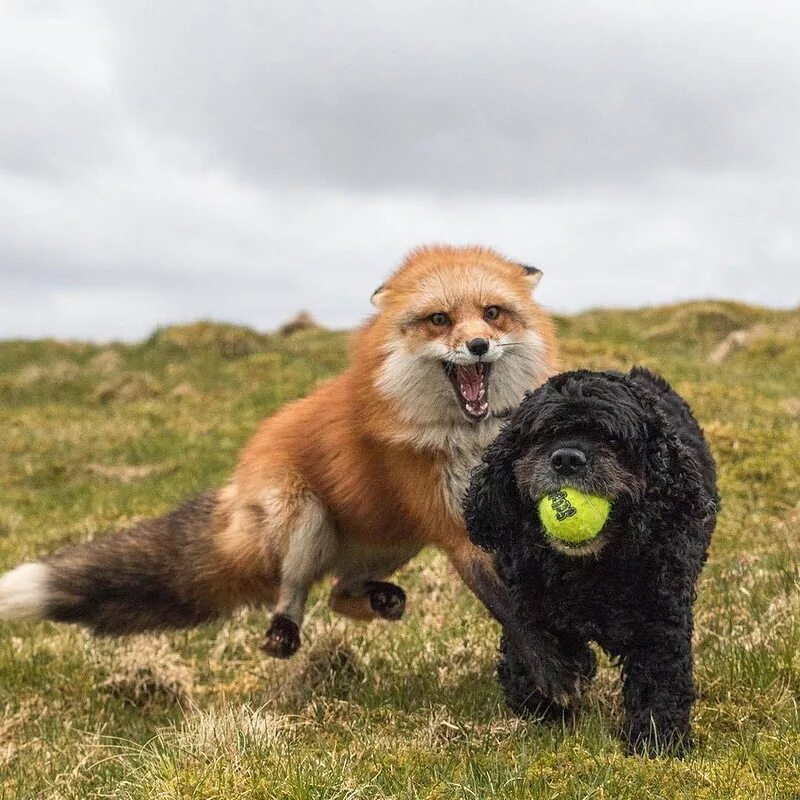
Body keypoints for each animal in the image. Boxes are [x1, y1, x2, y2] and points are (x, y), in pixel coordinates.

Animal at [0, 245, 560, 664]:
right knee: (297, 587)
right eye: (439, 319)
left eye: (492, 313)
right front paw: (558, 683)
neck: (468, 440)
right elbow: (516, 615)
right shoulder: (457, 530)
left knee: (338, 591)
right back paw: (284, 632)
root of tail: (240, 479)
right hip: (306, 517)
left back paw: (377, 598)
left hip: (399, 535)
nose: (478, 345)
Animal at [462, 368, 720, 756]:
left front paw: (657, 741)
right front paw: (545, 700)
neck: (589, 570)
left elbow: (660, 678)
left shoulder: (662, 616)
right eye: (544, 435)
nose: (567, 458)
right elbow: (534, 645)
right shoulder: (528, 600)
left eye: (611, 439)